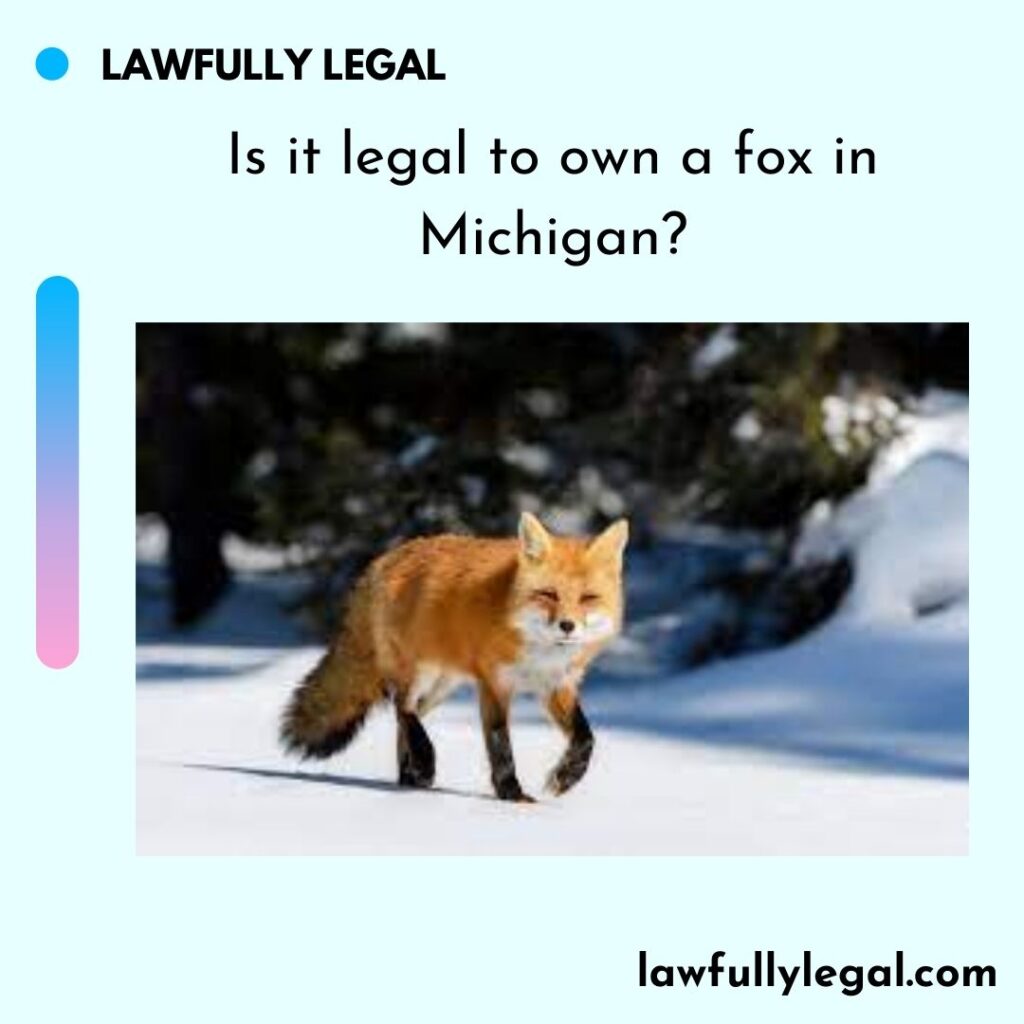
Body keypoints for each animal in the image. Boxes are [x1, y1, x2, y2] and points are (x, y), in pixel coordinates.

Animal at [280, 512, 628, 801]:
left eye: (588, 598)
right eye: (548, 594)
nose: (567, 626)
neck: (538, 652)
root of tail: (383, 559)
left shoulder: (557, 685)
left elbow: (586, 737)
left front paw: (565, 777)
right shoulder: (494, 684)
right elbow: (500, 744)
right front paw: (511, 795)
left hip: (441, 687)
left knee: (404, 719)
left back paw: (409, 777)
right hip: (419, 673)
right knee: (402, 706)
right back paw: (423, 762)